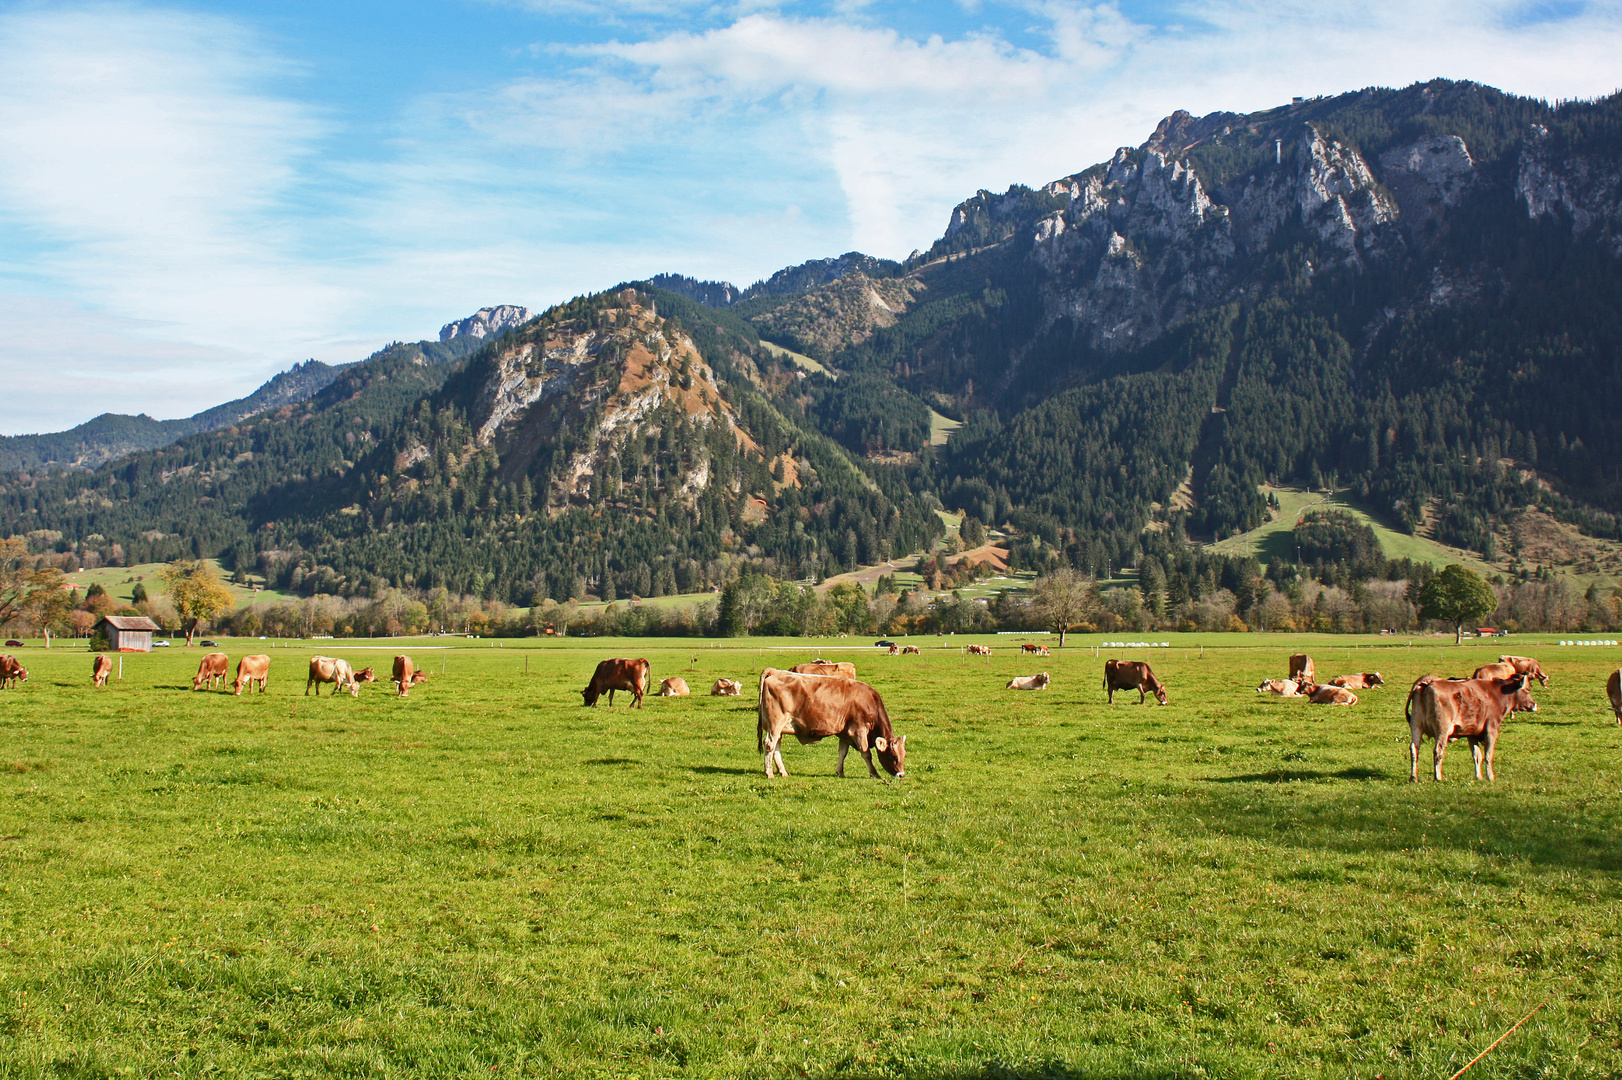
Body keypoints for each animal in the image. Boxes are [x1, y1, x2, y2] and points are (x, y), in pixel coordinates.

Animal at [755, 664, 908, 775]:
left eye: (904, 755)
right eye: (893, 757)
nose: (901, 775)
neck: (869, 701)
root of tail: (774, 672)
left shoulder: (845, 733)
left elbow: (842, 753)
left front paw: (840, 772)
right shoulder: (858, 730)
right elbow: (866, 754)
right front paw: (875, 774)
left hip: (778, 728)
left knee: (776, 747)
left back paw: (783, 772)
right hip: (775, 724)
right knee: (770, 744)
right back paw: (769, 773)